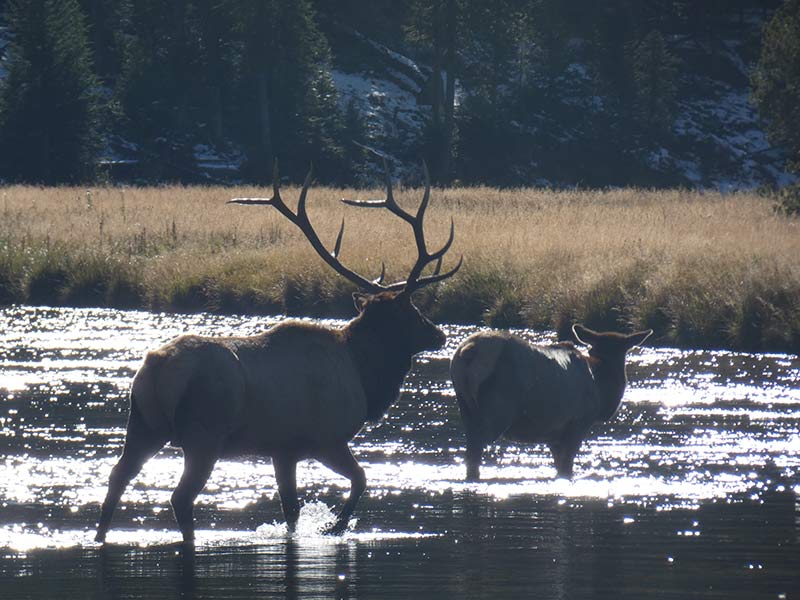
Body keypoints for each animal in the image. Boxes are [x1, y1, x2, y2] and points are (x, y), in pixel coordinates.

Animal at [94, 159, 460, 544]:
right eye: (413, 311)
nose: (439, 335)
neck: (363, 374)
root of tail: (155, 372)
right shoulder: (325, 438)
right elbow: (360, 480)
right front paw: (334, 525)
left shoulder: (283, 450)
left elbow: (291, 511)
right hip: (204, 432)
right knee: (180, 497)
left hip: (143, 424)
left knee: (117, 476)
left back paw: (100, 536)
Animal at [450, 324, 648, 482]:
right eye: (625, 352)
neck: (600, 387)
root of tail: (468, 350)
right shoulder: (578, 423)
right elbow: (567, 467)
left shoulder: (553, 435)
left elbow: (559, 466)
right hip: (499, 407)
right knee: (475, 450)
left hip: (465, 406)